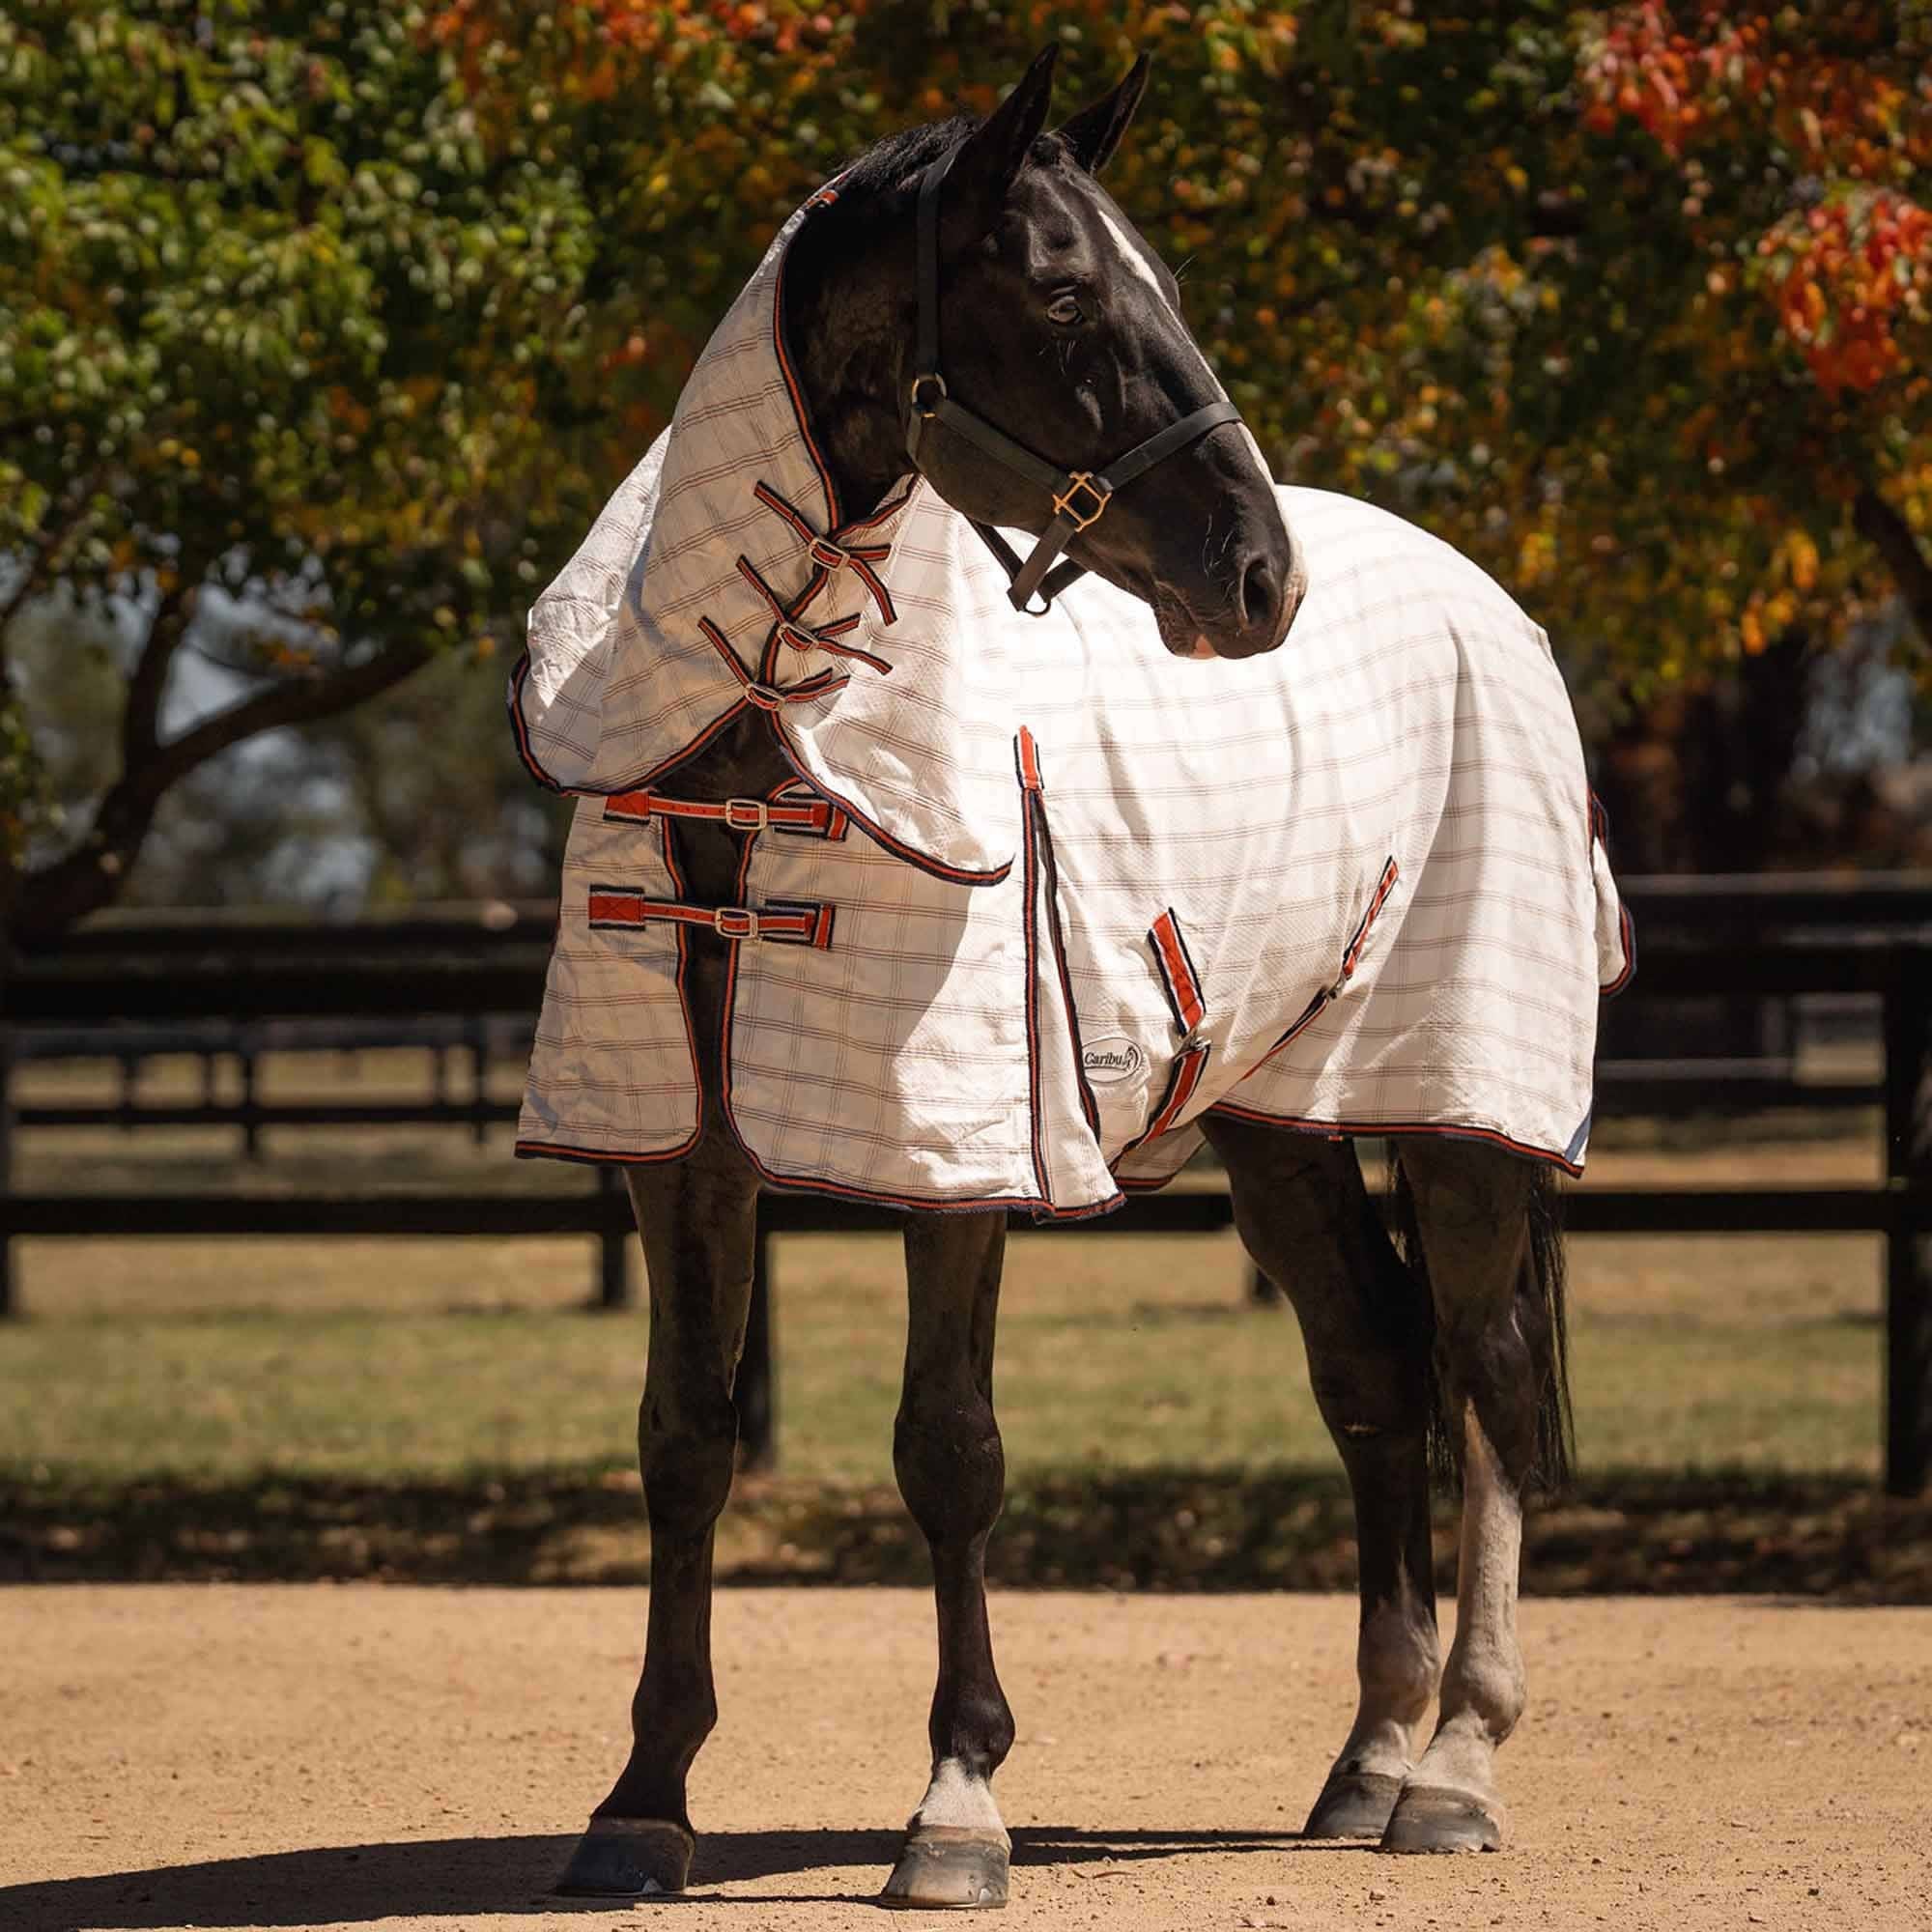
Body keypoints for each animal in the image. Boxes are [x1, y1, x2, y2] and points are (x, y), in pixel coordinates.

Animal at [508, 48, 1629, 1911]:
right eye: (1062, 293)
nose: (1261, 577)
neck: (755, 730)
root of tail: (1492, 606)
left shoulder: (960, 1151)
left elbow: (948, 1452)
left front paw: (956, 1805)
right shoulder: (685, 1147)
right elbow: (682, 1439)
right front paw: (644, 1797)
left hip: (1461, 1110)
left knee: (1482, 1381)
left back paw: (1458, 1766)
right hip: (1279, 1123)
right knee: (1376, 1373)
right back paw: (1367, 1760)